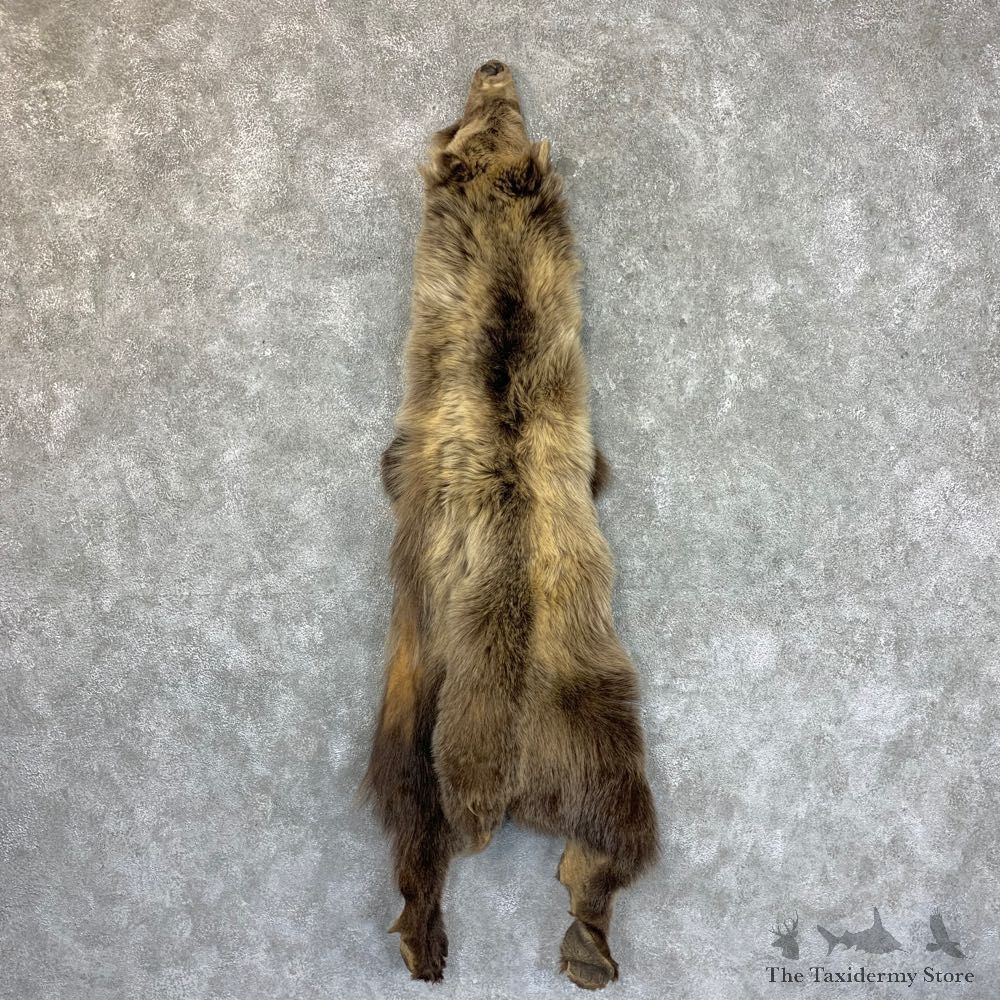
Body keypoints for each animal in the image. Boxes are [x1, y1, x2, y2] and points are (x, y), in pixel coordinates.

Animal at [363, 60, 658, 990]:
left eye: (499, 107)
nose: (493, 63)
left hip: (417, 719)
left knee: (417, 833)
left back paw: (435, 940)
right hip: (602, 729)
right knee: (608, 847)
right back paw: (585, 948)